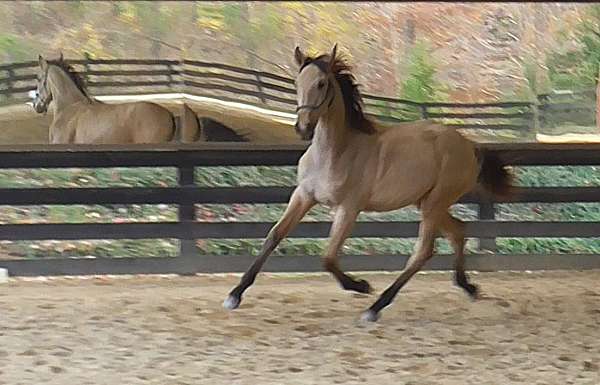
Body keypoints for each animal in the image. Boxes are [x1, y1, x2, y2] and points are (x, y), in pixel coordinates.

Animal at [223, 45, 512, 320]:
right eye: (297, 83)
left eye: (322, 83)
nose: (303, 128)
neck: (336, 151)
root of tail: (470, 145)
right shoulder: (303, 196)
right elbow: (274, 235)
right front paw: (234, 295)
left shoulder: (349, 208)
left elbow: (328, 257)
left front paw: (361, 285)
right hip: (429, 203)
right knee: (458, 231)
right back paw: (468, 287)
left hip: (435, 203)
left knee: (423, 251)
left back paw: (375, 308)